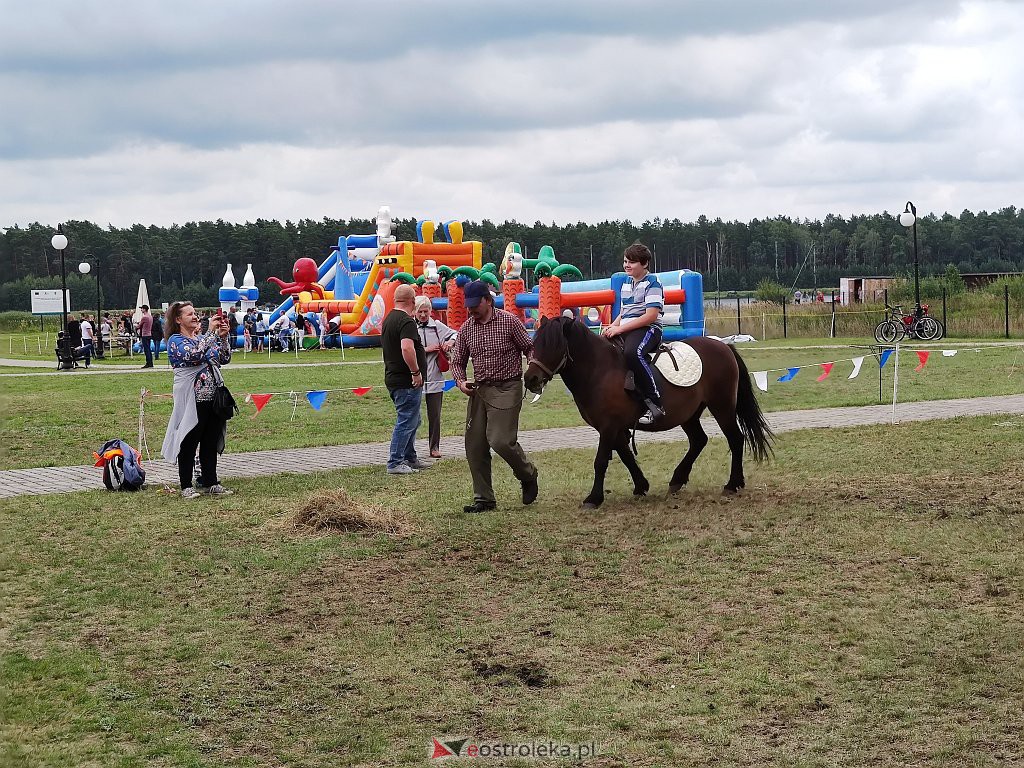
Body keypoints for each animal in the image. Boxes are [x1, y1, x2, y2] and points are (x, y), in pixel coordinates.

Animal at [524, 319, 770, 512]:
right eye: (535, 343)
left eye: (553, 344)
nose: (530, 379)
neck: (599, 370)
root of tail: (724, 346)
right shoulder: (615, 428)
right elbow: (626, 456)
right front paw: (641, 485)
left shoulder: (608, 427)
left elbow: (601, 461)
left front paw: (593, 498)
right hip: (689, 414)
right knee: (699, 440)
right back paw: (677, 480)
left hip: (722, 406)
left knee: (735, 439)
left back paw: (733, 484)